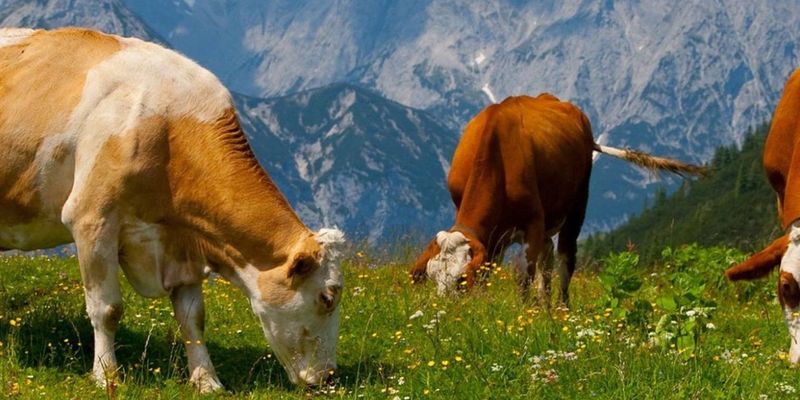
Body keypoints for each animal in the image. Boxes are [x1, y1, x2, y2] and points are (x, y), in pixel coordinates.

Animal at [0, 27, 344, 390]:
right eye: (327, 297)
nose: (329, 376)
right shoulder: (92, 219)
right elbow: (106, 309)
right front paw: (107, 375)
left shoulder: (182, 243)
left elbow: (193, 317)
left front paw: (207, 381)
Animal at [412, 94, 708, 306]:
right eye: (432, 275)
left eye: (461, 279)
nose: (444, 309)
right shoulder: (492, 236)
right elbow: (491, 272)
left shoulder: (532, 223)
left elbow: (525, 278)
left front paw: (525, 314)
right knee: (548, 259)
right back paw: (545, 305)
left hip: (576, 207)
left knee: (565, 260)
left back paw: (561, 308)